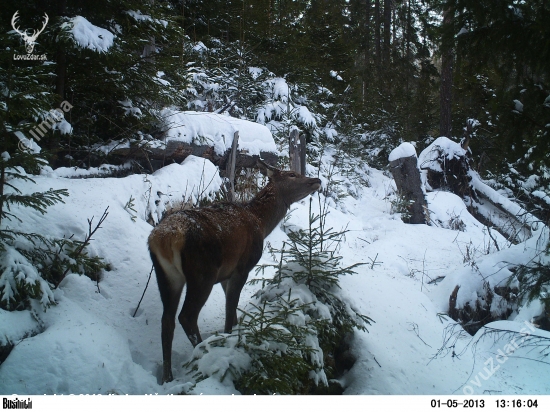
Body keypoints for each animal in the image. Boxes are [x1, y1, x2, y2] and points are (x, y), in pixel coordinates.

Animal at [149, 159, 326, 382]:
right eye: (292, 174)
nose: (317, 180)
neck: (261, 223)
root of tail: (164, 238)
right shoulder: (243, 267)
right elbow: (230, 309)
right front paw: (229, 341)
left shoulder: (226, 276)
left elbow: (232, 312)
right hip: (203, 272)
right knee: (186, 316)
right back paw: (201, 353)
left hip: (167, 276)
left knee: (167, 320)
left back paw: (167, 377)